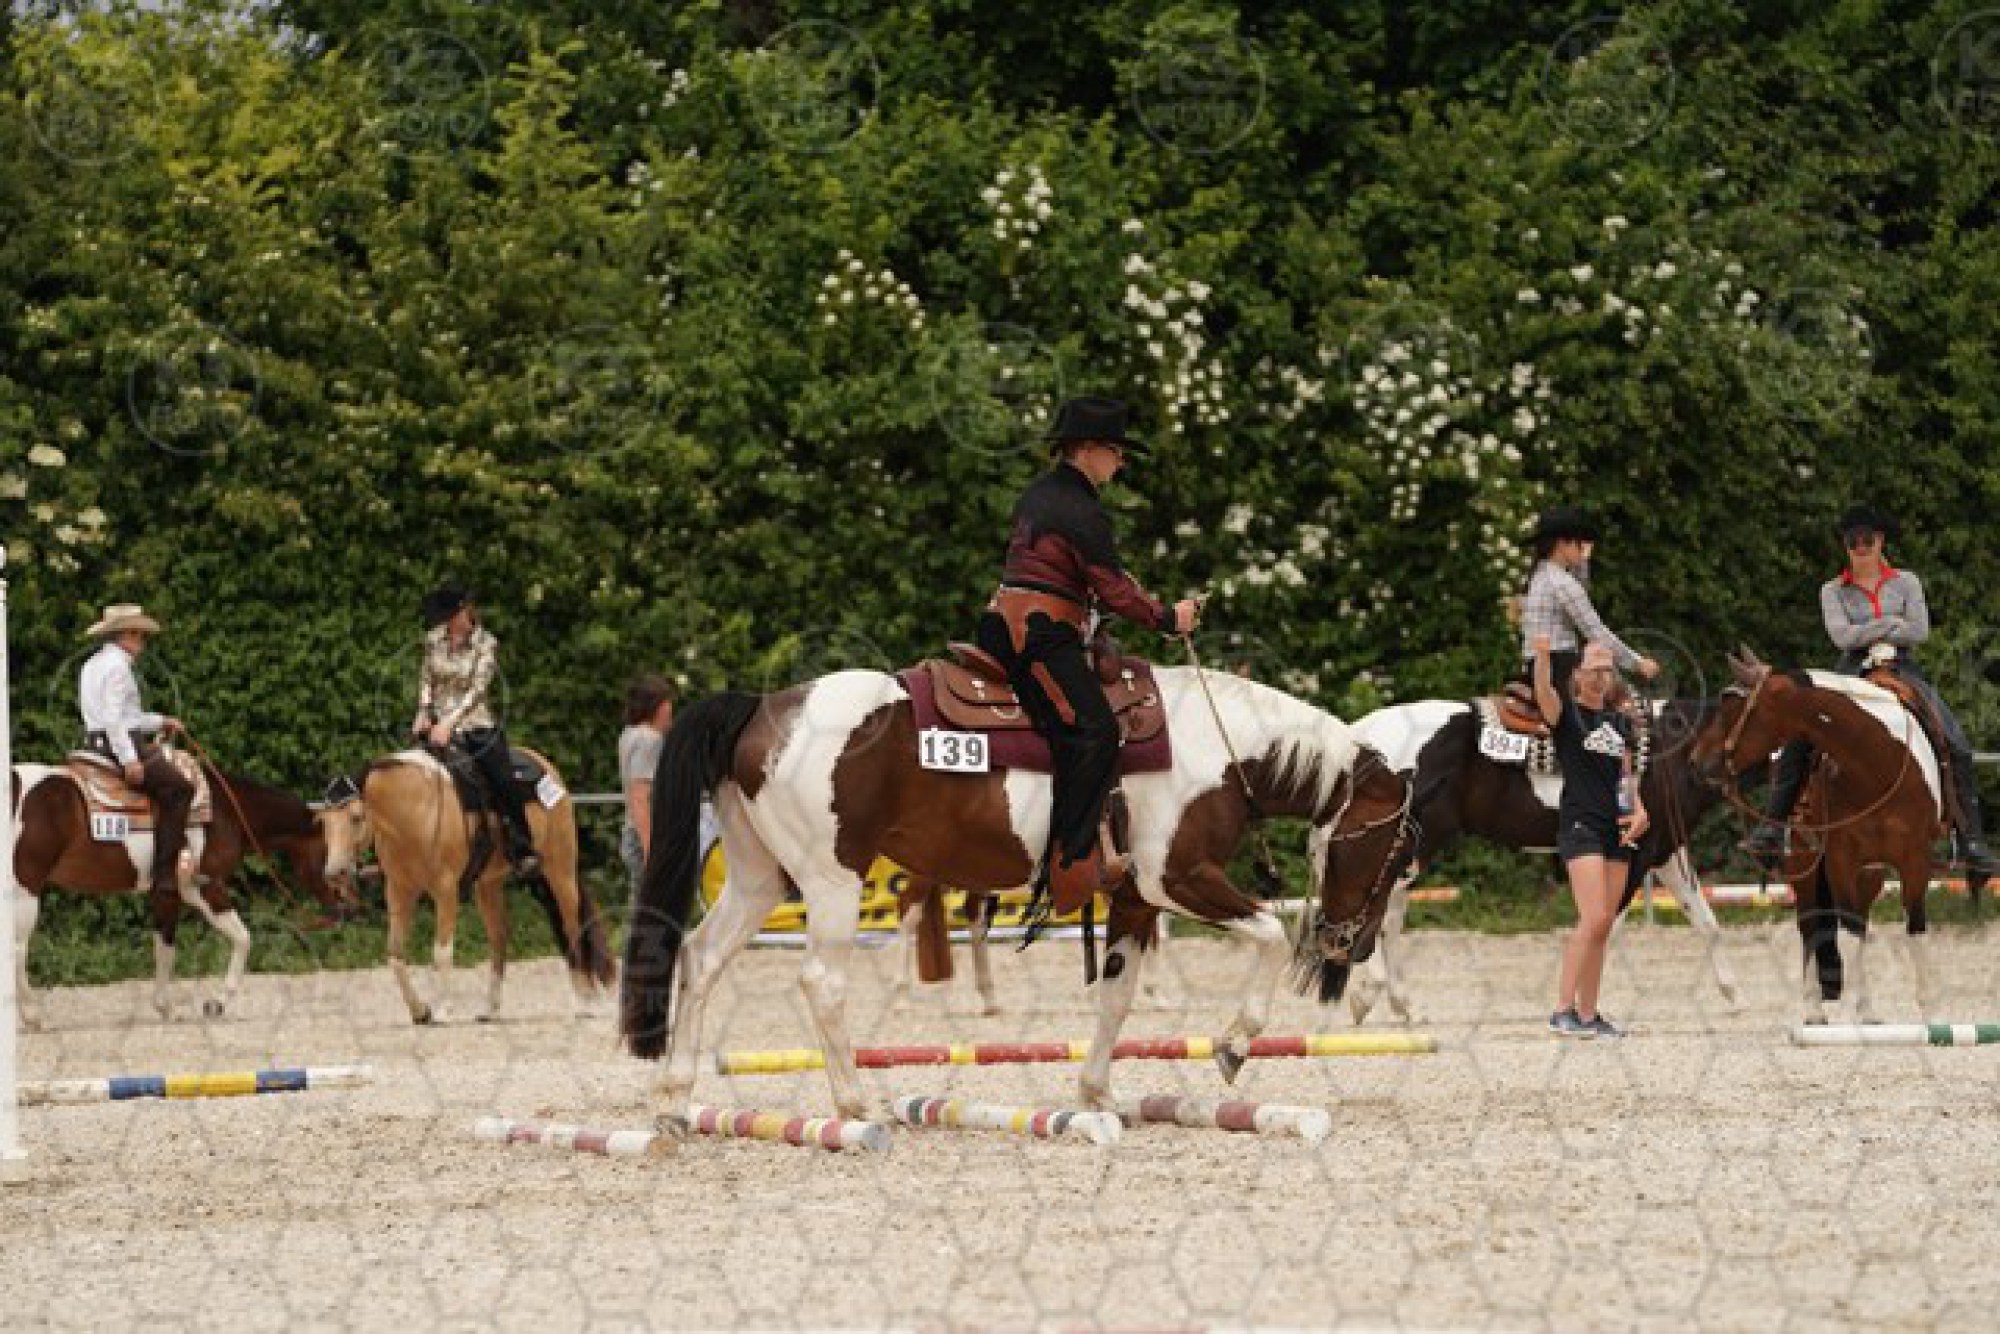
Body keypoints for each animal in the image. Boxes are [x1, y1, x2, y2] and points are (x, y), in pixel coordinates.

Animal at [10, 758, 355, 1027]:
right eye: (336, 853)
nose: (347, 908)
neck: (223, 812)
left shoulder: (168, 895)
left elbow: (164, 949)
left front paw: (167, 1008)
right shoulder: (205, 888)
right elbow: (243, 938)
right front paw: (217, 1003)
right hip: (24, 892)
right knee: (18, 951)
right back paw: (34, 1016)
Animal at [321, 747, 616, 1024]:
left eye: (356, 817)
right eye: (323, 822)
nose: (334, 872)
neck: (417, 811)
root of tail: (543, 763)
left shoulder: (446, 890)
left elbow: (441, 952)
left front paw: (442, 1010)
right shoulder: (399, 891)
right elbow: (395, 954)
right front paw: (420, 1012)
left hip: (559, 869)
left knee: (572, 928)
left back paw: (586, 1002)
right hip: (488, 885)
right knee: (499, 936)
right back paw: (490, 1010)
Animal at [620, 665, 1413, 1122]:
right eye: (1391, 847)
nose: (1350, 945)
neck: (1213, 746)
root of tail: (761, 708)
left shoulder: (1134, 901)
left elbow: (1117, 998)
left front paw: (1098, 1095)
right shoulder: (1177, 878)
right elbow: (1270, 935)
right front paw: (1233, 1044)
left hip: (761, 878)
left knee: (701, 957)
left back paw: (674, 1095)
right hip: (830, 881)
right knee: (822, 982)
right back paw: (851, 1103)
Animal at [1346, 696, 1742, 1023]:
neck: (1669, 751)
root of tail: (1364, 733)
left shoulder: (1666, 852)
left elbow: (1706, 921)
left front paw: (1734, 994)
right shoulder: (1636, 854)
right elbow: (1605, 927)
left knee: (1387, 914)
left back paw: (1402, 1005)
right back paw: (1370, 995)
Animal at [1689, 650, 1964, 1023]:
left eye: (1731, 707)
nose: (1696, 760)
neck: (1878, 761)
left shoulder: (1916, 858)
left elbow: (1915, 927)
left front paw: (1931, 1013)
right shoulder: (1840, 858)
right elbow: (1846, 933)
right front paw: (1851, 1016)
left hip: (1871, 873)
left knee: (1860, 921)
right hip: (1803, 863)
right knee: (1810, 926)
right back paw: (1815, 1010)